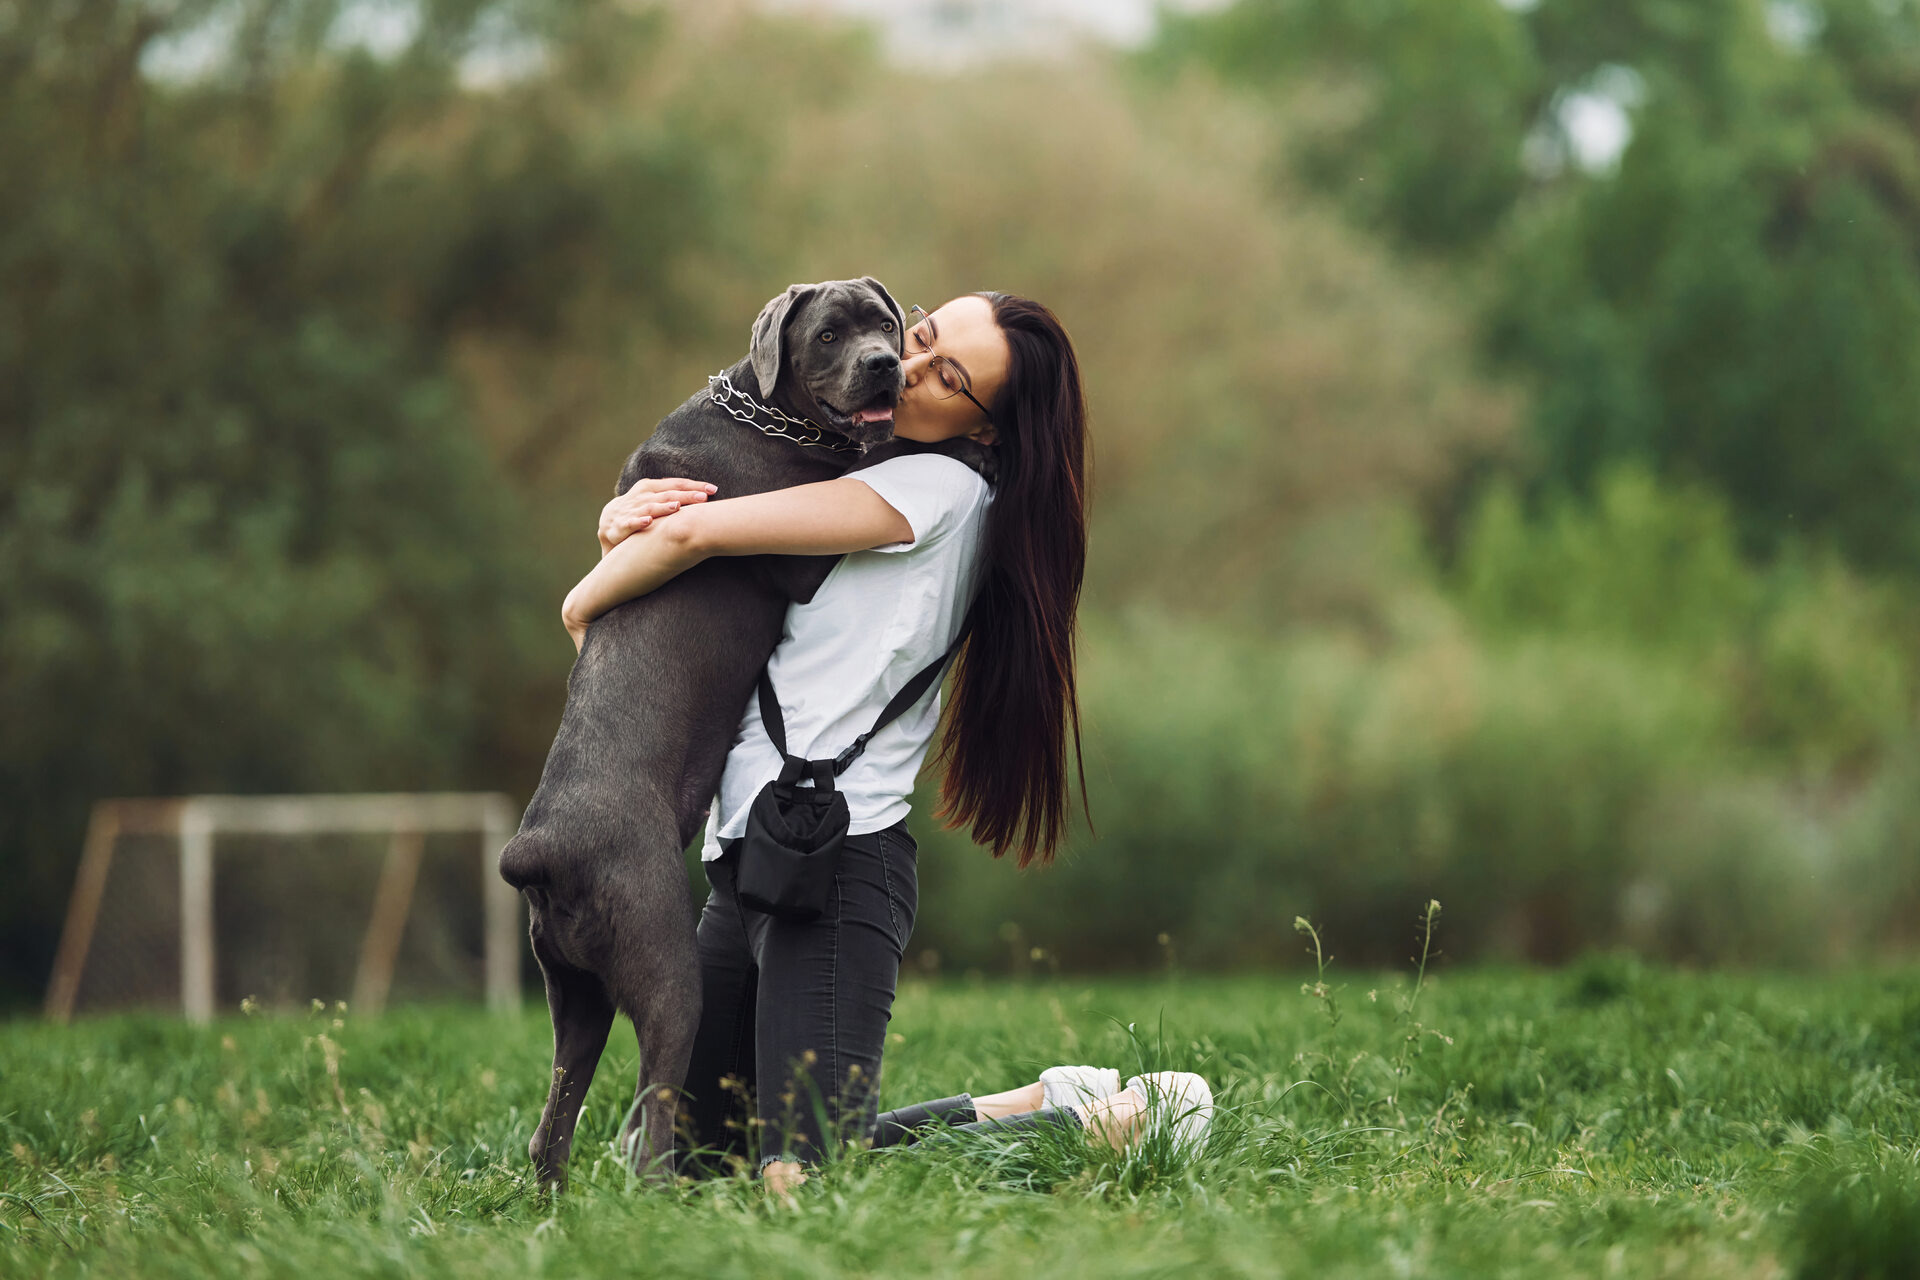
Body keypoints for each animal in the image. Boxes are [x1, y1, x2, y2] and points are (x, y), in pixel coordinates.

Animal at [495, 276, 913, 1189]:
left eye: (885, 324)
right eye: (829, 335)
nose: (886, 365)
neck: (765, 411)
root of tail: (537, 849)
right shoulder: (804, 551)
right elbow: (876, 461)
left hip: (575, 996)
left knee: (552, 1130)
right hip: (667, 975)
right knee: (653, 1122)